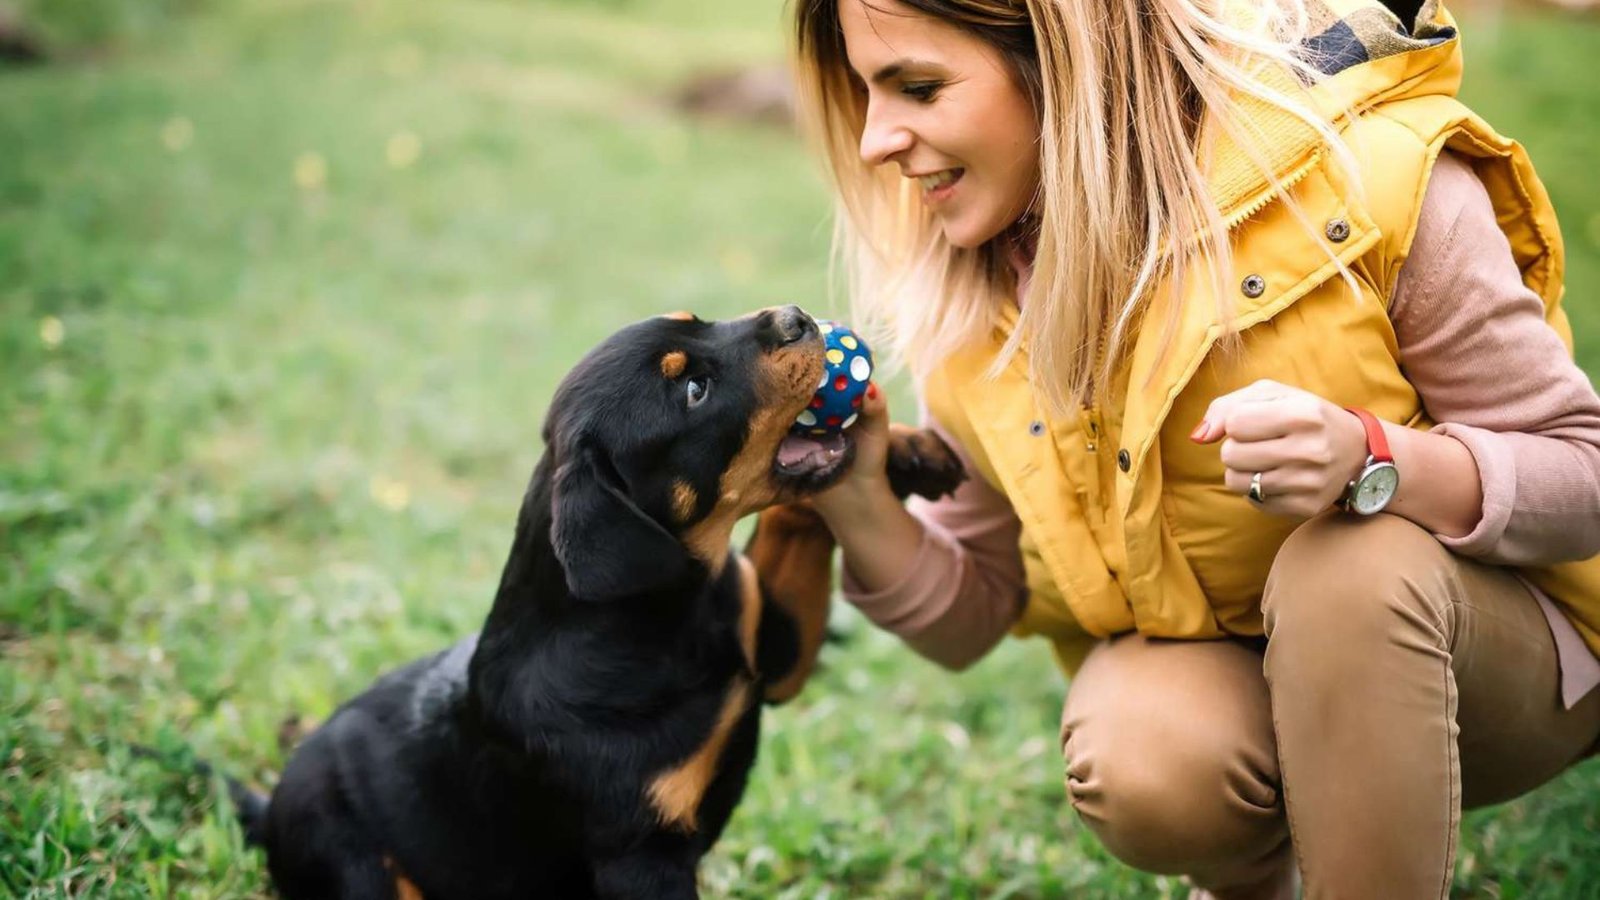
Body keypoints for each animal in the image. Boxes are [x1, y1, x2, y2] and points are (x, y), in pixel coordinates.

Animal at [236, 304, 960, 890]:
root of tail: (267, 810)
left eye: (698, 321)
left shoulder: (774, 650)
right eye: (693, 390)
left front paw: (907, 451)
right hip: (353, 857)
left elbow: (799, 514)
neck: (669, 614)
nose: (797, 317)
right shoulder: (641, 856)